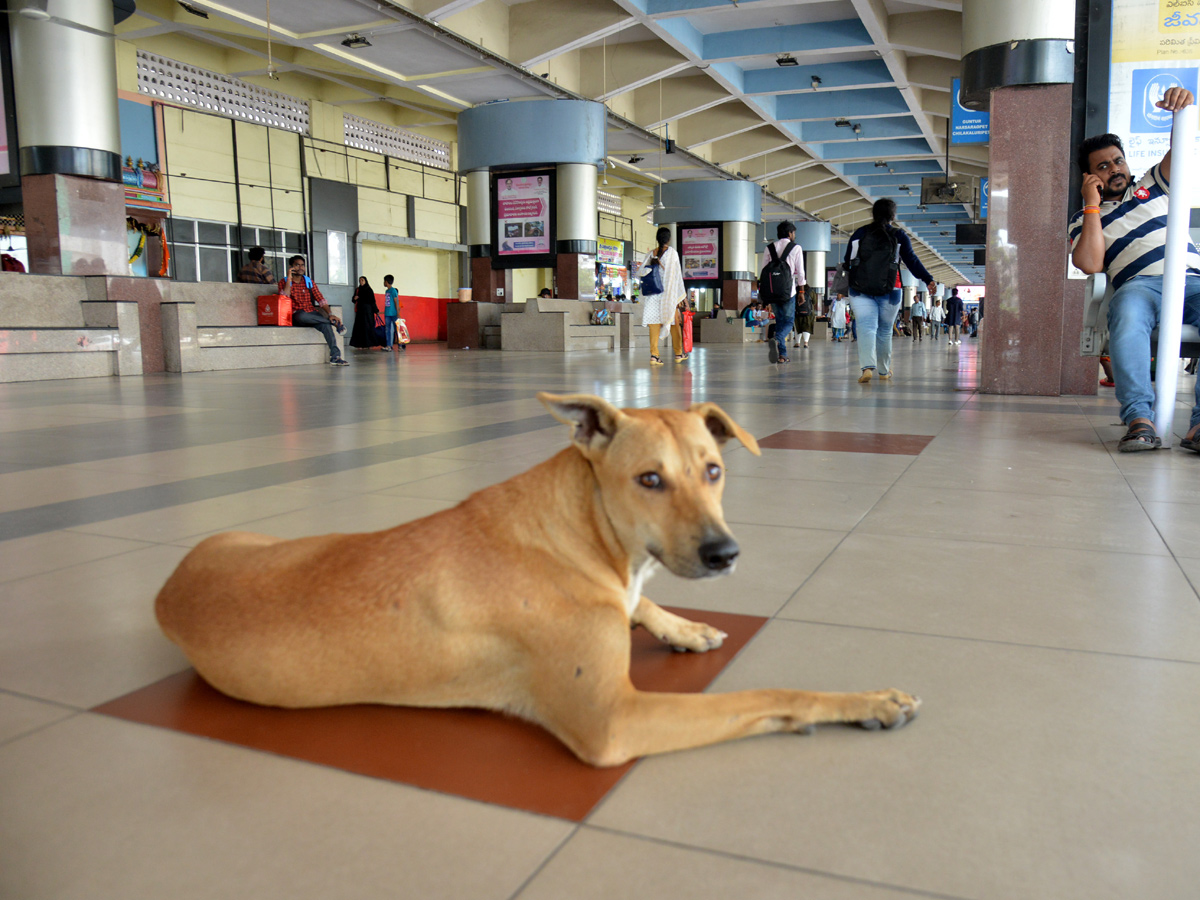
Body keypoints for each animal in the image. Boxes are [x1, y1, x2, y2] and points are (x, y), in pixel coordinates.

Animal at [152, 393, 916, 768]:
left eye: (714, 470)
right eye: (649, 480)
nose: (724, 554)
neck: (580, 534)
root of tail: (169, 585)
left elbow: (641, 601)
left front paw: (679, 623)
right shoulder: (614, 719)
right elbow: (771, 693)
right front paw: (861, 701)